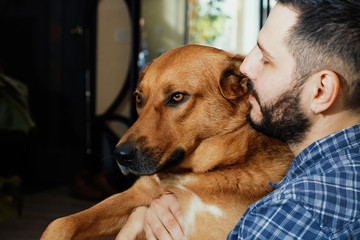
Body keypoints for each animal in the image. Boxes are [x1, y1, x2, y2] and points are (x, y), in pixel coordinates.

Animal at [40, 45, 292, 240]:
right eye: (139, 98)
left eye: (177, 97)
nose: (120, 155)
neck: (197, 173)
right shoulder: (139, 195)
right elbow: (60, 223)